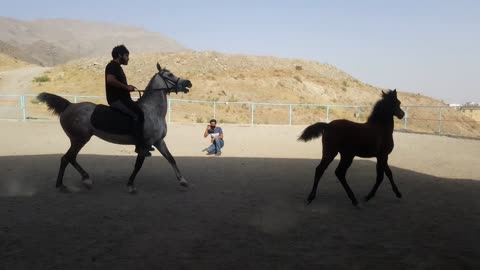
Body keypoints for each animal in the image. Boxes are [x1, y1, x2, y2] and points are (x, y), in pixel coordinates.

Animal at [37, 62, 192, 194]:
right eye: (170, 74)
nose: (188, 83)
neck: (153, 111)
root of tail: (69, 105)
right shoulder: (145, 144)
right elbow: (138, 165)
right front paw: (130, 185)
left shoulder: (159, 141)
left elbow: (171, 158)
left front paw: (183, 181)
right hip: (79, 139)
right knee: (66, 158)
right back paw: (62, 184)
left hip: (79, 140)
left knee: (71, 158)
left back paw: (85, 179)